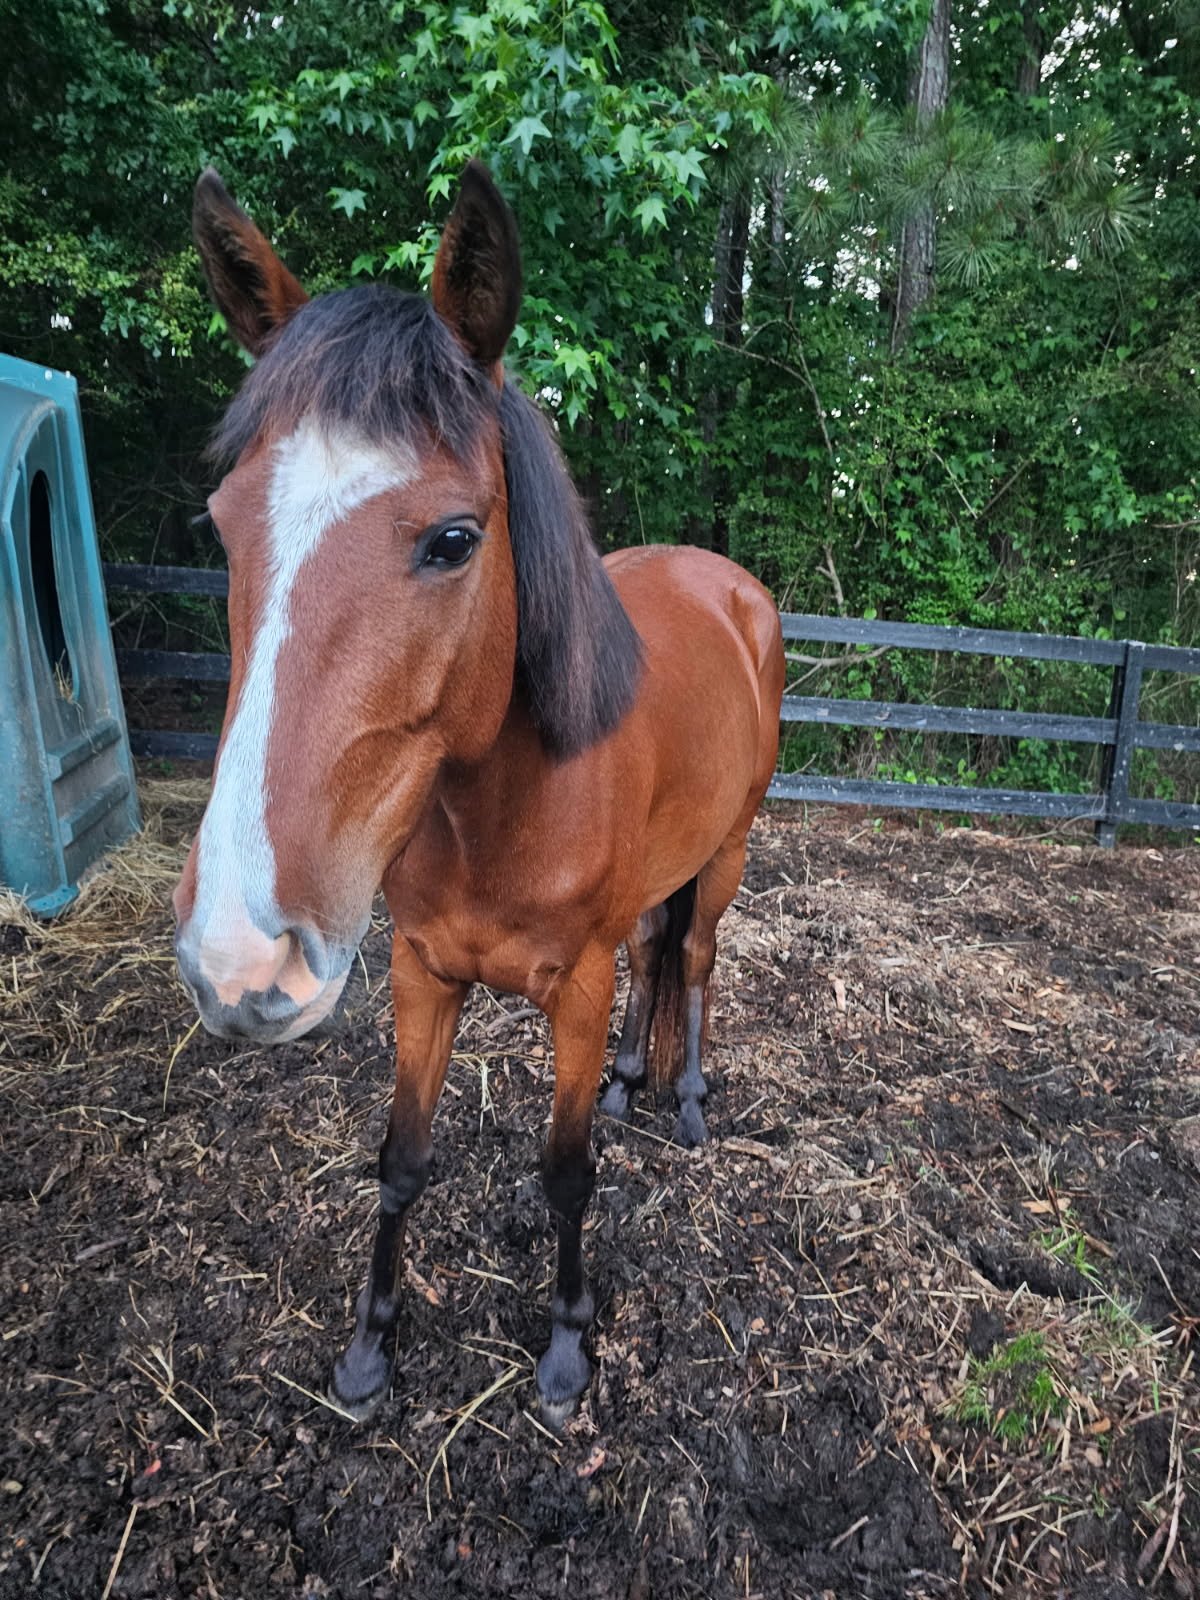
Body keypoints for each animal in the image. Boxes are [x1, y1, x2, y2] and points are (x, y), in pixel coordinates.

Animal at [174, 159, 785, 1424]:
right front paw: (370, 1349)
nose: (239, 954)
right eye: (222, 526)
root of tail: (730, 587)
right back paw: (632, 1084)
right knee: (659, 957)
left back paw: (689, 1101)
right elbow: (402, 1160)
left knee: (696, 961)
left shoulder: (574, 989)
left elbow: (565, 1175)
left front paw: (564, 1351)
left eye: (455, 539)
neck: (499, 809)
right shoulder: (421, 973)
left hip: (729, 856)